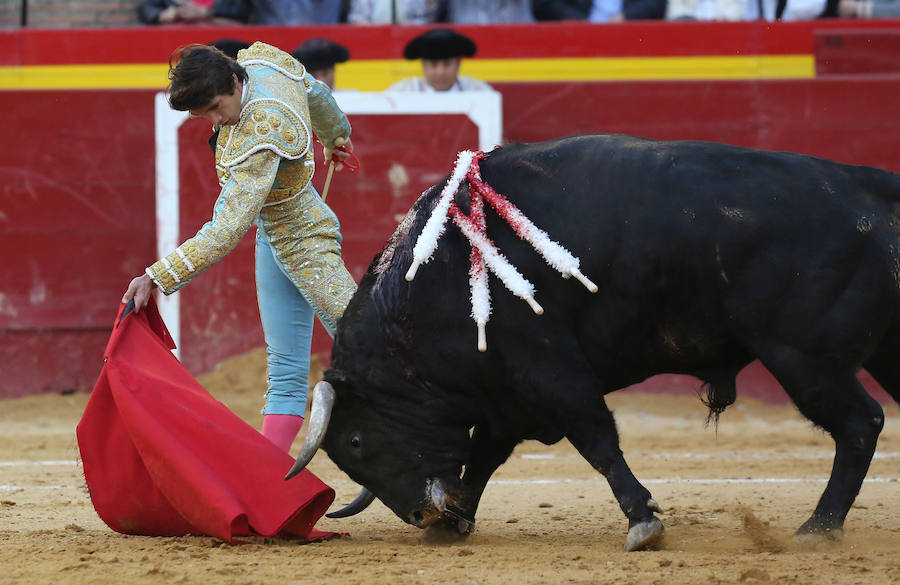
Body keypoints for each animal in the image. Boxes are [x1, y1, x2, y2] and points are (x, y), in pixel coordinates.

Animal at [286, 135, 900, 548]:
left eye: (357, 442)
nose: (423, 516)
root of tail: (871, 187)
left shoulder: (549, 370)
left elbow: (597, 439)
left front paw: (643, 522)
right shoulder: (506, 392)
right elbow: (483, 456)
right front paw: (456, 524)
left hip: (803, 357)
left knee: (860, 423)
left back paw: (817, 528)